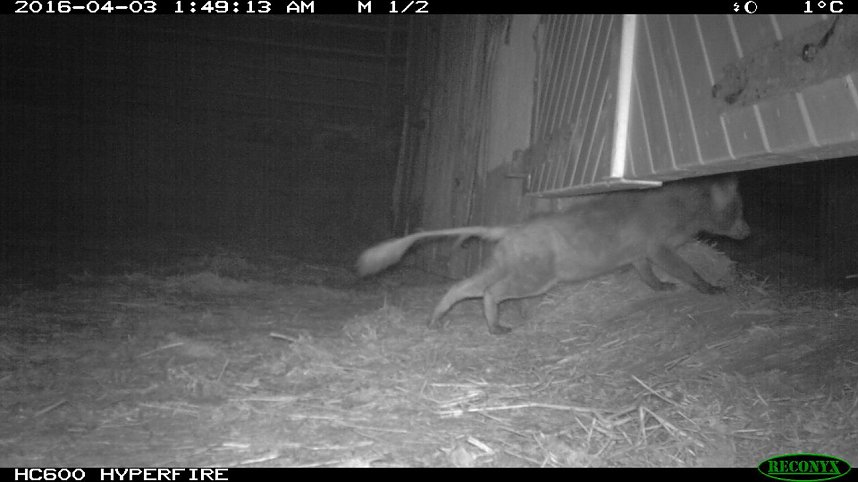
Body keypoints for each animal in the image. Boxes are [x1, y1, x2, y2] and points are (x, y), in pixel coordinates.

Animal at [357, 175, 751, 335]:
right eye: (738, 209)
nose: (749, 232)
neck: (681, 206)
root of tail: (508, 229)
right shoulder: (659, 247)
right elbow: (684, 270)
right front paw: (712, 289)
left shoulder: (639, 255)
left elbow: (648, 275)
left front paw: (662, 288)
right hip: (535, 279)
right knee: (490, 293)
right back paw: (496, 327)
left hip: (506, 266)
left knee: (461, 288)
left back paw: (437, 321)